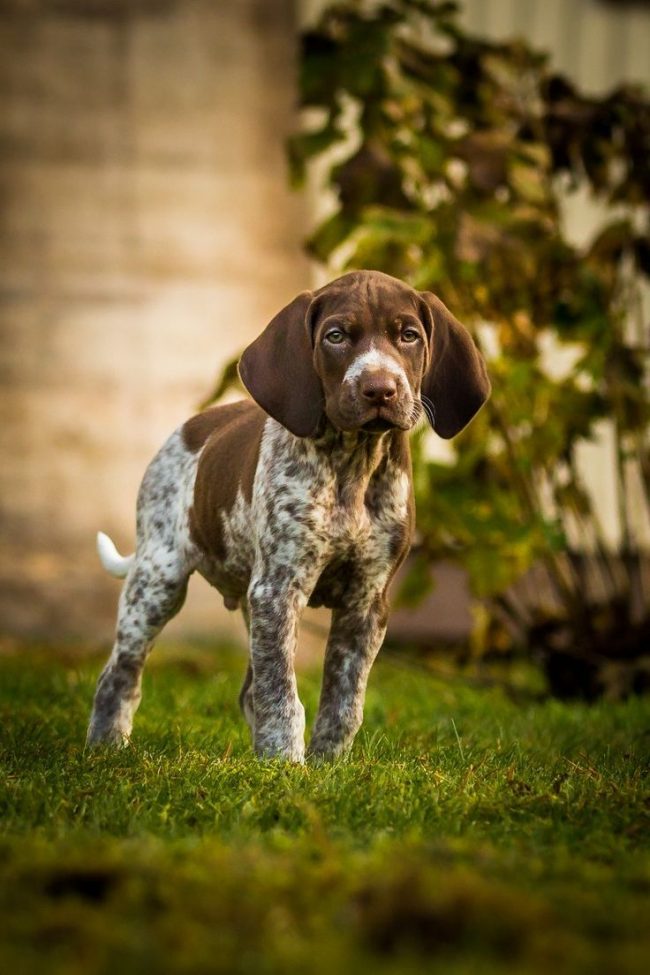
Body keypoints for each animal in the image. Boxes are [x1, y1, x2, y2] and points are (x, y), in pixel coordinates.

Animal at [87, 268, 486, 764]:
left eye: (408, 335)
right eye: (336, 336)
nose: (380, 389)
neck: (351, 466)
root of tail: (190, 426)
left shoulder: (365, 600)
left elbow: (343, 699)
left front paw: (327, 765)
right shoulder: (278, 588)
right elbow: (281, 692)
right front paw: (284, 766)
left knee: (248, 689)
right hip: (158, 580)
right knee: (121, 671)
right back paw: (106, 745)